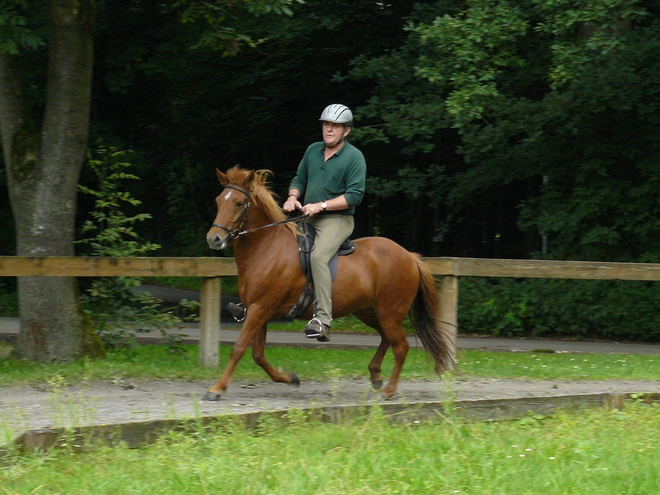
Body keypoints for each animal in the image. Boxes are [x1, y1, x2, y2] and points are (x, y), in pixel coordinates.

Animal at [204, 167, 456, 404]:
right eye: (218, 201)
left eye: (238, 203)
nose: (214, 239)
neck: (267, 247)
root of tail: (410, 257)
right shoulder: (258, 311)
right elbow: (258, 354)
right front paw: (289, 378)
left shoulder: (260, 309)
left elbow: (239, 348)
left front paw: (216, 389)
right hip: (368, 311)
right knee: (387, 338)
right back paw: (375, 375)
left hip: (389, 312)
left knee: (401, 346)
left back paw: (388, 391)